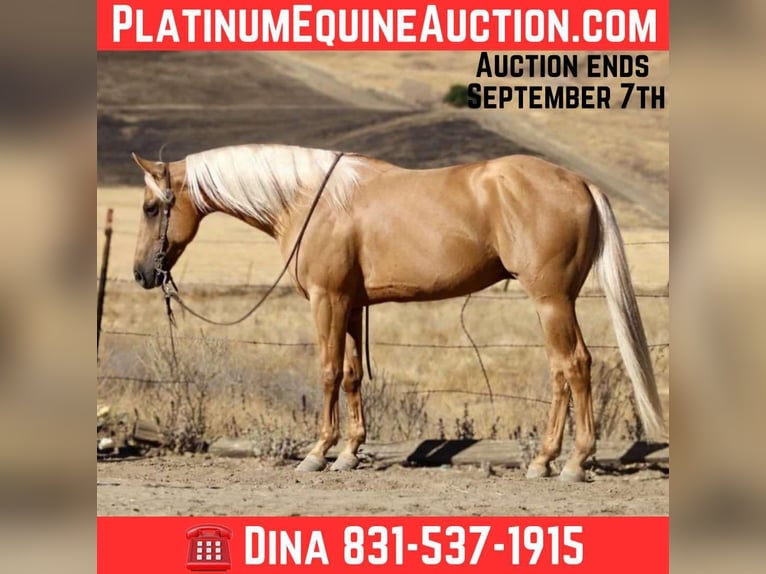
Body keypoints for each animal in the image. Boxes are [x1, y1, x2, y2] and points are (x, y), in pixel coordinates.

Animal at [131, 143, 665, 482]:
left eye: (151, 208)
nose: (141, 274)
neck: (309, 200)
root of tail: (579, 182)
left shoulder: (327, 299)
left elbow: (327, 372)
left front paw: (317, 453)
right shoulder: (350, 305)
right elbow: (351, 375)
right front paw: (348, 453)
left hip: (551, 300)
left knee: (573, 366)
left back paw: (572, 463)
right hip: (554, 304)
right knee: (561, 373)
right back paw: (545, 460)